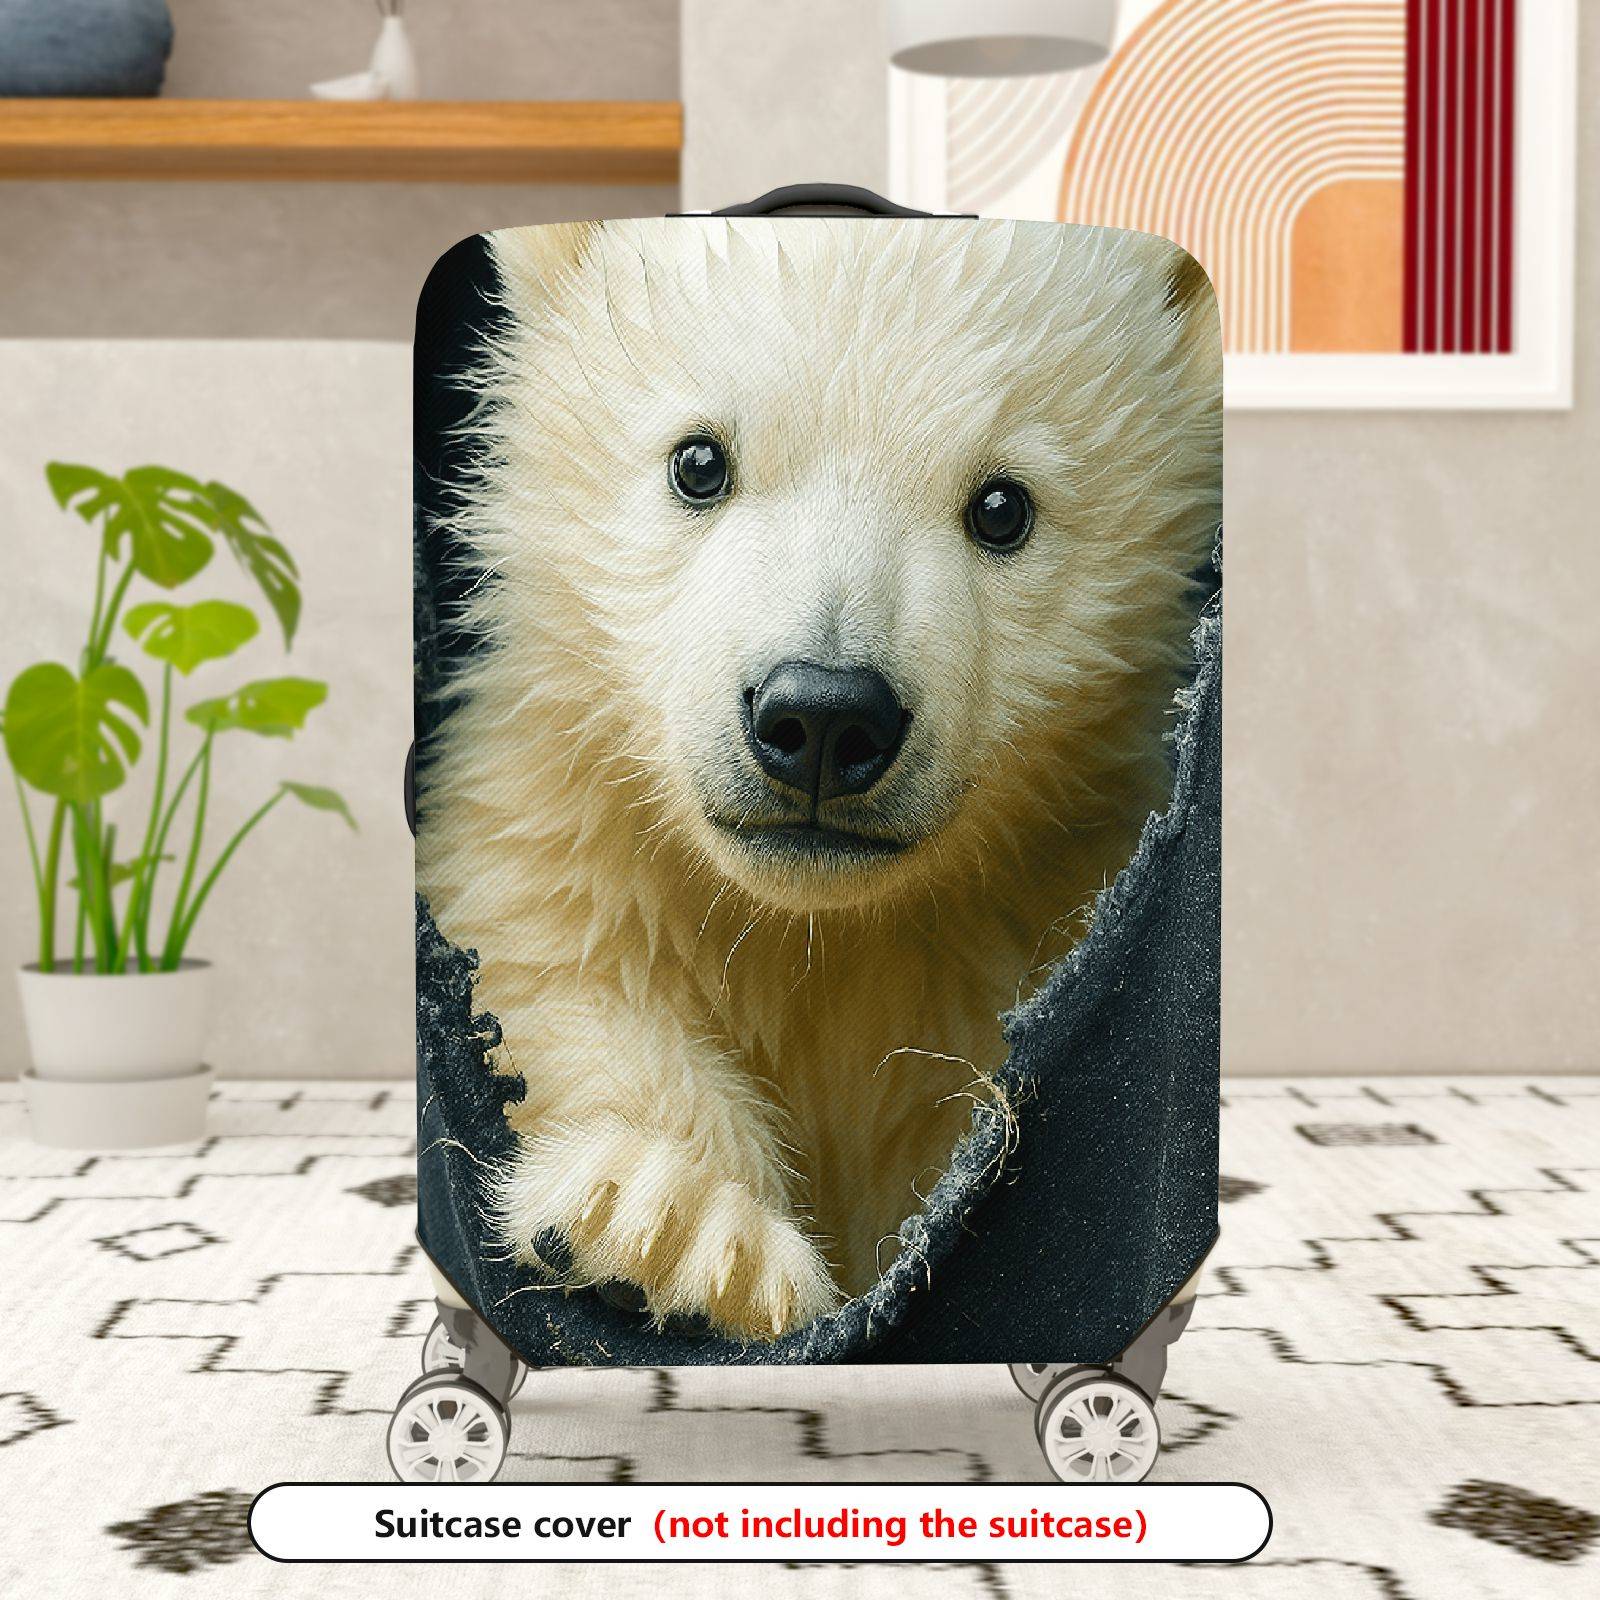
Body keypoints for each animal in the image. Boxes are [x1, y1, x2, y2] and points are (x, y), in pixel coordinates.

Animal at [417, 215, 1221, 1340]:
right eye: (699, 460)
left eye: (1003, 505)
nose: (825, 716)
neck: (810, 936)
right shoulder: (551, 826)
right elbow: (552, 968)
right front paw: (673, 1228)